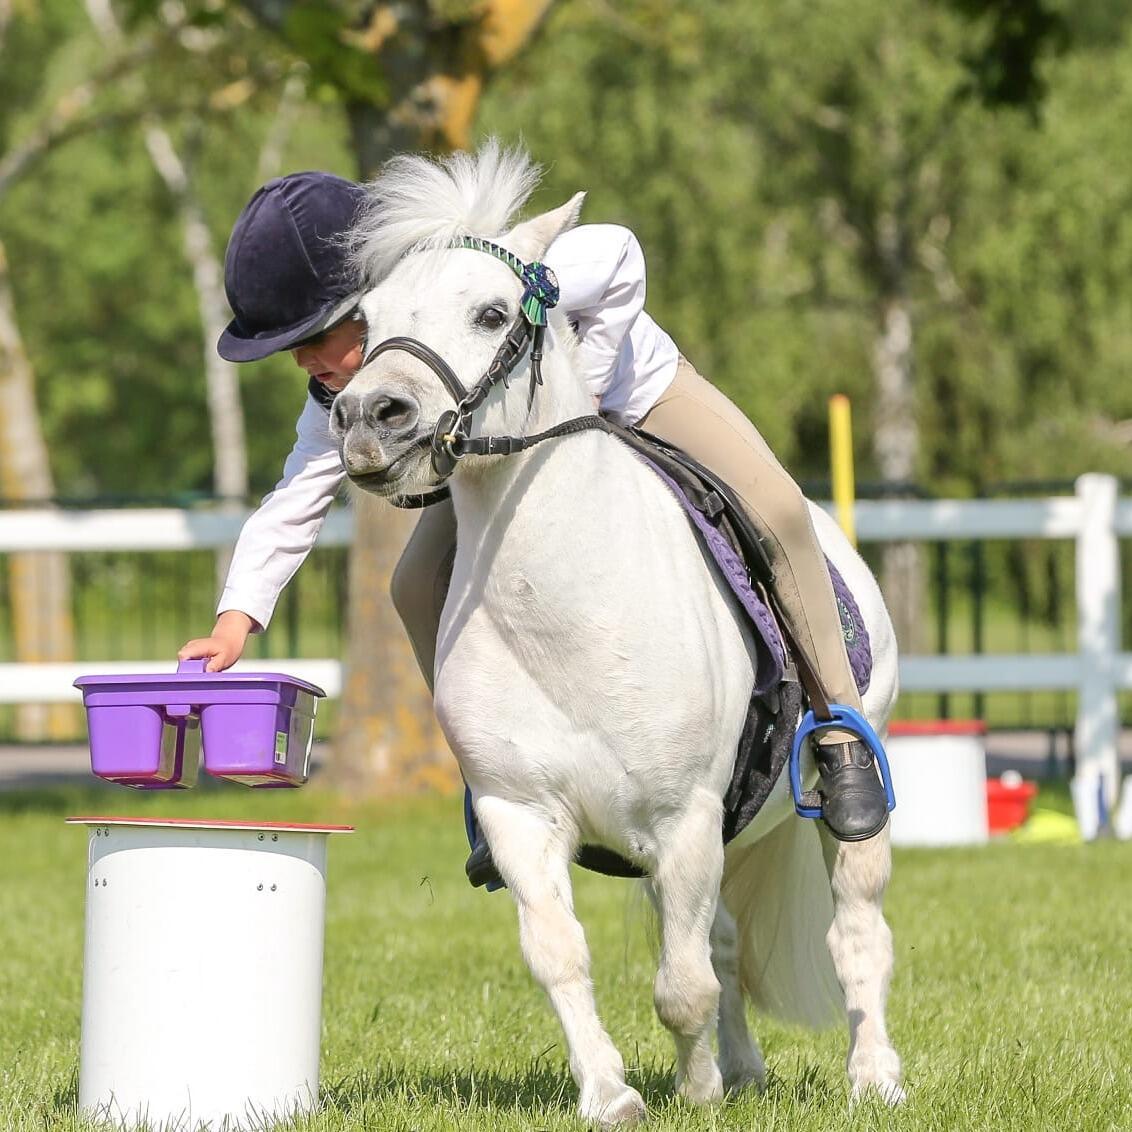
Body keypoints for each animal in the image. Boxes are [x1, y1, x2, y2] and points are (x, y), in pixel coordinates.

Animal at [330, 143, 905, 1122]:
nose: (372, 420)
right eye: (367, 321)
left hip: (839, 805)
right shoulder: (523, 817)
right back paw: (745, 1072)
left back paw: (875, 1078)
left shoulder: (682, 820)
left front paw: (695, 1093)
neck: (566, 612)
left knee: (855, 926)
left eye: (492, 313)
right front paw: (615, 1096)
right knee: (724, 942)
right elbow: (566, 957)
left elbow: (682, 987)